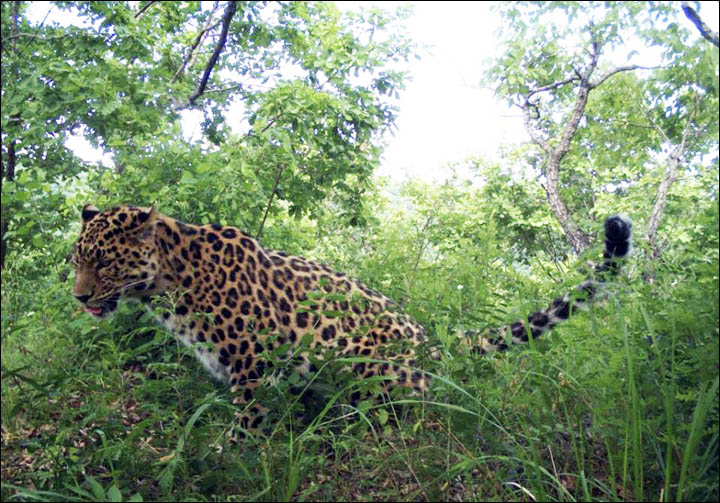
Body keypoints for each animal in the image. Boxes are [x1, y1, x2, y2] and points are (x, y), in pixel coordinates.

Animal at [69, 205, 632, 438]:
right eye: (77, 259)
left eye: (103, 261)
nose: (79, 297)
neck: (170, 282)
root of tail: (432, 345)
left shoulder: (252, 363)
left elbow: (247, 423)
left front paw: (236, 456)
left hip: (368, 367)